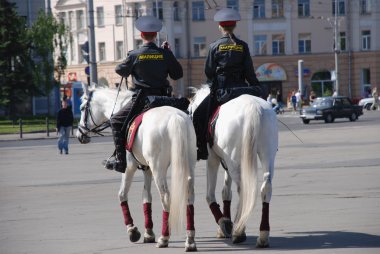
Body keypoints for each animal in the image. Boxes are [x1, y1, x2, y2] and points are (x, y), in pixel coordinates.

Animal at [76, 84, 197, 252]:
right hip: (188, 163)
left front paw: (132, 230)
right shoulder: (146, 168)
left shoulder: (129, 167)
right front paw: (148, 232)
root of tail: (176, 118)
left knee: (166, 197)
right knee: (189, 194)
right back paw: (190, 240)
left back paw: (164, 237)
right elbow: (146, 198)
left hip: (158, 168)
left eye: (82, 108)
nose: (79, 135)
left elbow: (122, 194)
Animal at [189, 86, 278, 247]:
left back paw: (239, 231)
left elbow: (210, 195)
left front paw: (224, 223)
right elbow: (226, 192)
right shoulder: (226, 161)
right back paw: (263, 234)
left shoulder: (213, 158)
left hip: (233, 160)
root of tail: (253, 108)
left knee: (244, 189)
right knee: (265, 187)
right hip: (266, 155)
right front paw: (224, 225)